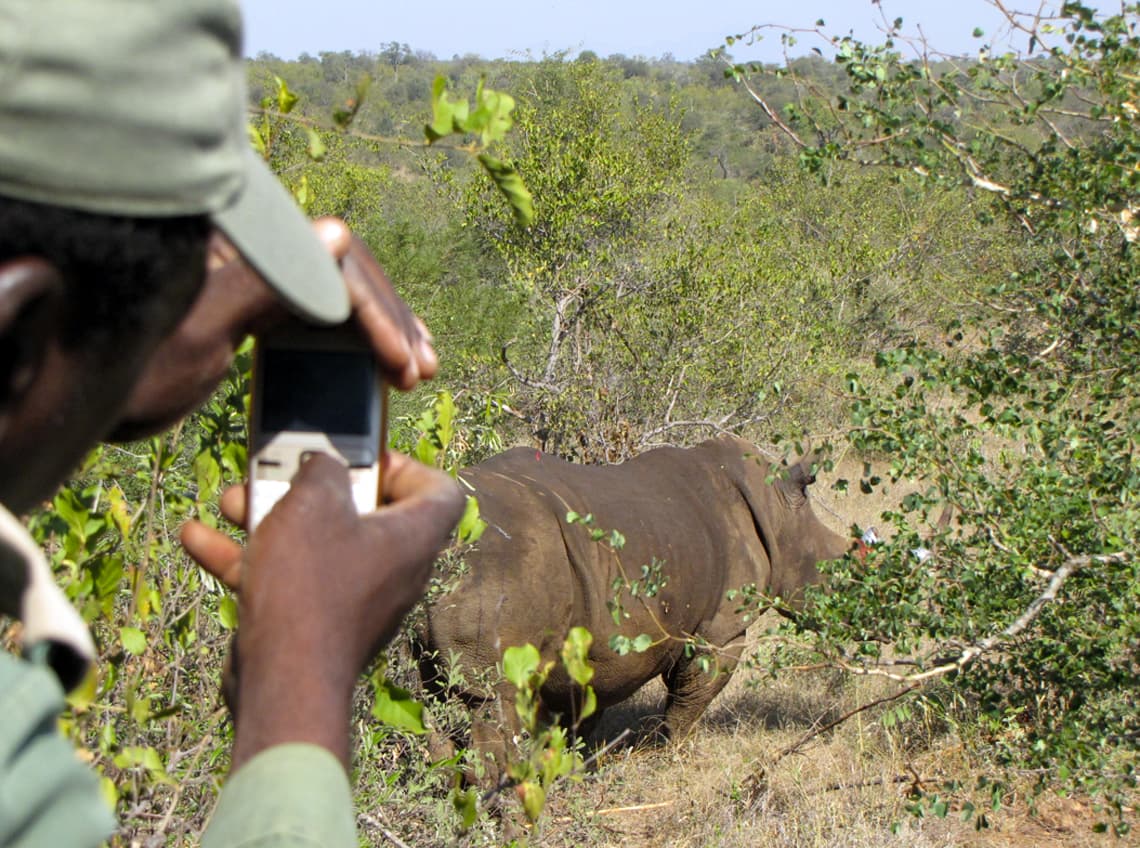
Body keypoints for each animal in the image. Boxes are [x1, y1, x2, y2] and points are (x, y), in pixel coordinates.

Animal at [416, 435, 848, 770]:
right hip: (497, 557)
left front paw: (569, 766)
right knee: (491, 699)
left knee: (430, 701)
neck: (778, 511)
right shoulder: (720, 630)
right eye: (839, 568)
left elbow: (582, 711)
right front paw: (676, 755)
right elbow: (691, 698)